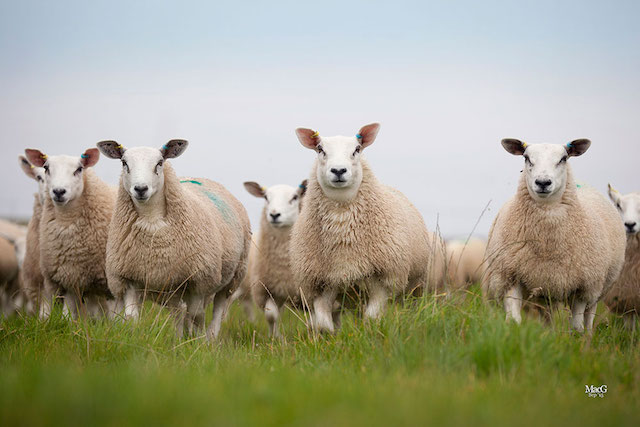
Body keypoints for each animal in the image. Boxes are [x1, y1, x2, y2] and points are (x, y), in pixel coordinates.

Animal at [96, 140, 251, 341]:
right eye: (124, 163)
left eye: (160, 163)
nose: (140, 189)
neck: (151, 220)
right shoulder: (128, 278)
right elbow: (131, 317)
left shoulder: (198, 280)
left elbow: (197, 315)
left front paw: (197, 341)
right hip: (172, 285)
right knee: (179, 312)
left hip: (233, 278)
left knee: (216, 311)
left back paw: (209, 338)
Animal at [237, 180, 307, 336]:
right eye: (266, 197)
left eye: (295, 197)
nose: (274, 214)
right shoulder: (269, 290)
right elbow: (271, 315)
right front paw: (275, 337)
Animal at [289, 123, 445, 333]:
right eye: (320, 149)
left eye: (357, 149)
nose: (339, 170)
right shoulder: (321, 284)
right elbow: (323, 324)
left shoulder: (383, 279)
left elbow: (372, 318)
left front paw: (371, 334)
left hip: (415, 285)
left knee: (409, 306)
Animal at [482, 139, 626, 333]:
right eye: (527, 158)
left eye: (563, 158)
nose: (543, 182)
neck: (546, 243)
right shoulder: (510, 276)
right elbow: (513, 319)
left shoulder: (583, 288)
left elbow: (577, 327)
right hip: (545, 289)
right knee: (547, 317)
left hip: (596, 289)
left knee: (589, 318)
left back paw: (588, 337)